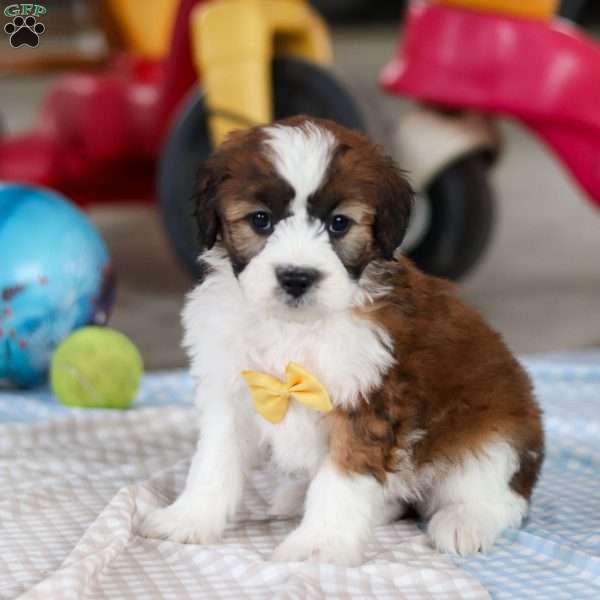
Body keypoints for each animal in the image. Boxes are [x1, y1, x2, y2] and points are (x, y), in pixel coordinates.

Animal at [141, 115, 544, 564]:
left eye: (339, 224)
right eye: (261, 220)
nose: (296, 277)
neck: (296, 327)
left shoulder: (369, 402)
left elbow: (341, 480)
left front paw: (319, 544)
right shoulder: (234, 390)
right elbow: (214, 461)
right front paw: (189, 518)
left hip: (493, 437)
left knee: (498, 496)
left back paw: (464, 520)